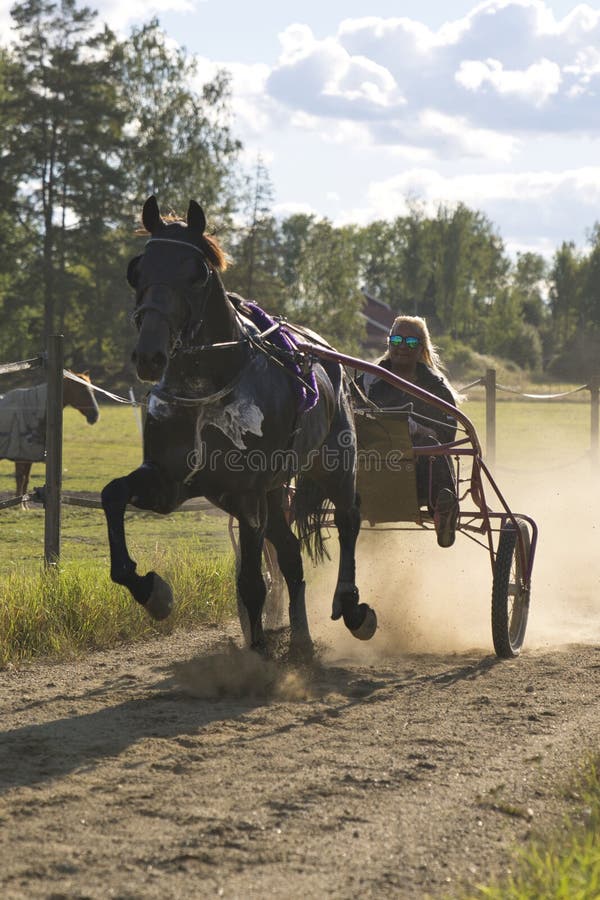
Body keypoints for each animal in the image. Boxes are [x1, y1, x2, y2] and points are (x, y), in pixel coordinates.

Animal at [101, 197, 378, 652]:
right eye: (136, 269)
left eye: (196, 274)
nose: (150, 356)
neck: (208, 387)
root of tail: (324, 350)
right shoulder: (169, 482)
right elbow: (112, 495)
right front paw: (152, 592)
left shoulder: (246, 494)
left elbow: (251, 582)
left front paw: (258, 652)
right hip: (275, 489)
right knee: (290, 554)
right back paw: (301, 640)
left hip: (335, 461)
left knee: (348, 519)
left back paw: (352, 607)